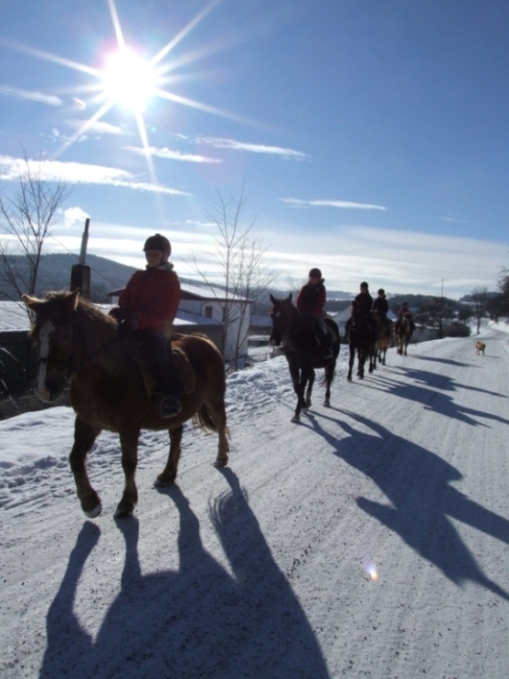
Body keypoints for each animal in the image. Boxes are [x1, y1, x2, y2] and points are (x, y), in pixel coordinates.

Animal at [22, 289, 229, 519]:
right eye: (34, 337)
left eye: (65, 335)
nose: (45, 389)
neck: (108, 374)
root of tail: (205, 340)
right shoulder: (87, 422)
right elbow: (75, 458)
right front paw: (90, 502)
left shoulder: (129, 426)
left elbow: (128, 462)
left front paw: (126, 503)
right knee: (176, 437)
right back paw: (168, 474)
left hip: (214, 397)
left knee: (221, 424)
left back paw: (221, 457)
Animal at [269, 294, 340, 423]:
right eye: (272, 314)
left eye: (286, 315)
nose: (274, 340)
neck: (300, 337)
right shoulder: (294, 365)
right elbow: (297, 387)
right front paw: (303, 405)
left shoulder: (305, 366)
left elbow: (301, 387)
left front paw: (297, 414)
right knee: (312, 377)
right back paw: (308, 400)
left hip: (331, 362)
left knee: (328, 378)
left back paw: (326, 400)